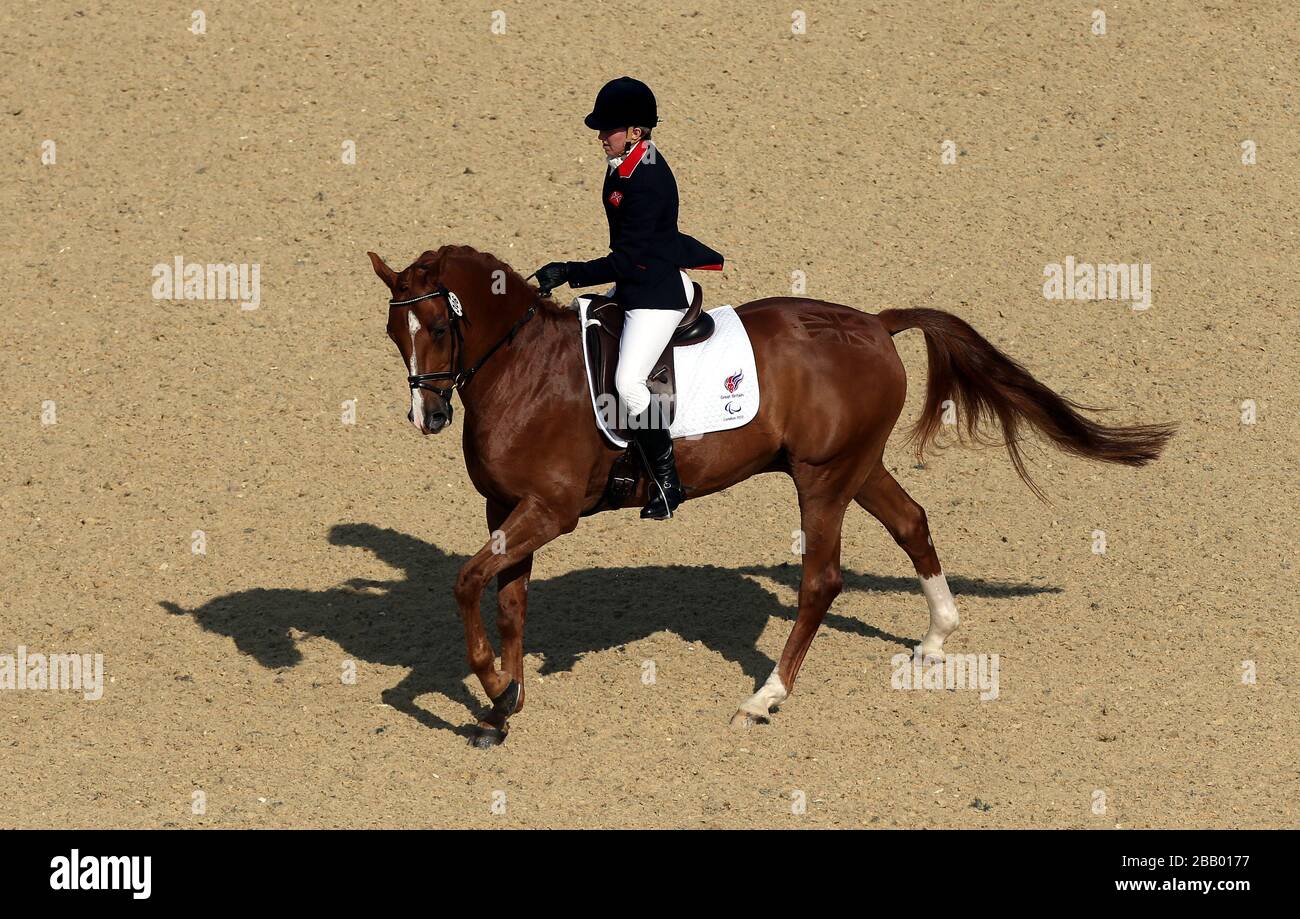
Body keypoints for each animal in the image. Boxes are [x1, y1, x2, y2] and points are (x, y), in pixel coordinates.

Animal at [369, 243, 1180, 748]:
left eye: (438, 323)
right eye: (392, 331)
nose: (427, 416)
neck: (524, 368)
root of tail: (874, 323)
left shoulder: (549, 511)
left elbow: (466, 582)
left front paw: (494, 689)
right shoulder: (505, 509)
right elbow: (507, 600)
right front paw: (504, 704)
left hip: (822, 479)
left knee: (821, 579)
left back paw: (764, 697)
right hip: (855, 466)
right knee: (913, 523)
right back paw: (936, 637)